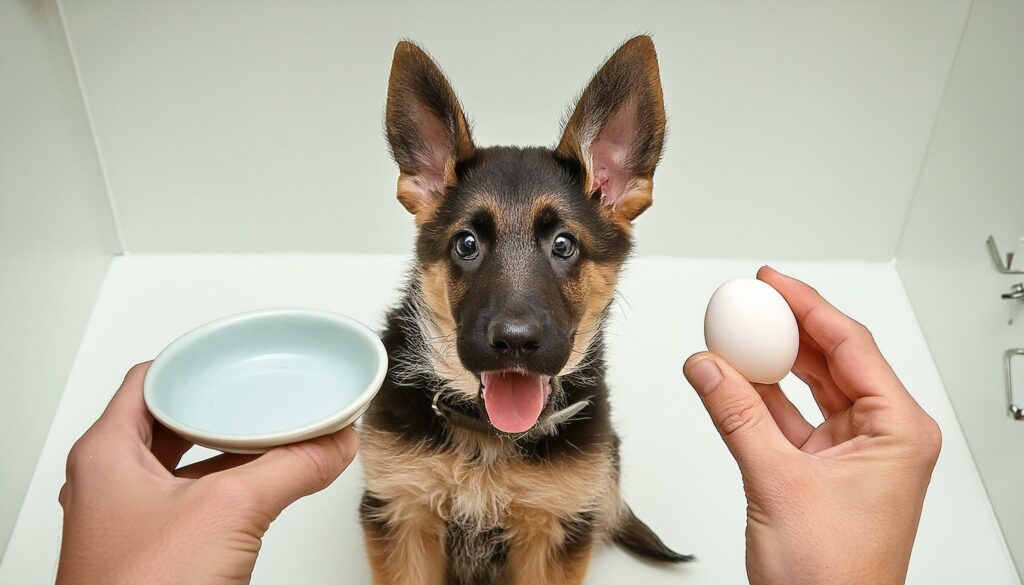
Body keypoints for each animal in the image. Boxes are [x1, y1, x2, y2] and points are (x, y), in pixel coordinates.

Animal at [360, 36, 688, 585]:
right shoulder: (403, 513)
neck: (487, 440)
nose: (515, 341)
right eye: (466, 244)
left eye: (564, 245)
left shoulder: (553, 525)